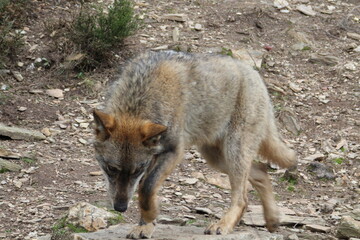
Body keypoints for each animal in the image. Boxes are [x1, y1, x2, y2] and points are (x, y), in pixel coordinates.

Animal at [92, 51, 296, 238]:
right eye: (111, 168)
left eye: (136, 171)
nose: (120, 208)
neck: (143, 93)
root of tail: (255, 74)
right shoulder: (155, 157)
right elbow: (145, 190)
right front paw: (145, 225)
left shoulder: (173, 151)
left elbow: (147, 187)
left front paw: (150, 216)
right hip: (216, 158)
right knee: (261, 171)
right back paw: (272, 220)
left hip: (233, 152)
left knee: (242, 198)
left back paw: (223, 225)